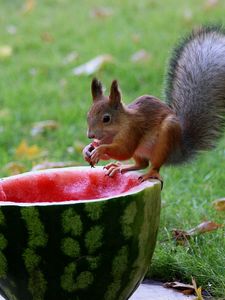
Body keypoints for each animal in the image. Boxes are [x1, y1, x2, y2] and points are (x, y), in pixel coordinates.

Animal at [82, 26, 225, 185]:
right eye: (88, 115)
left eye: (106, 119)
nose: (90, 135)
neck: (116, 129)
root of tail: (177, 150)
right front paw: (89, 148)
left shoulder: (133, 131)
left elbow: (124, 151)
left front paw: (100, 149)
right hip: (141, 152)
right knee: (141, 164)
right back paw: (120, 167)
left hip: (165, 140)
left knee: (154, 165)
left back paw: (150, 173)